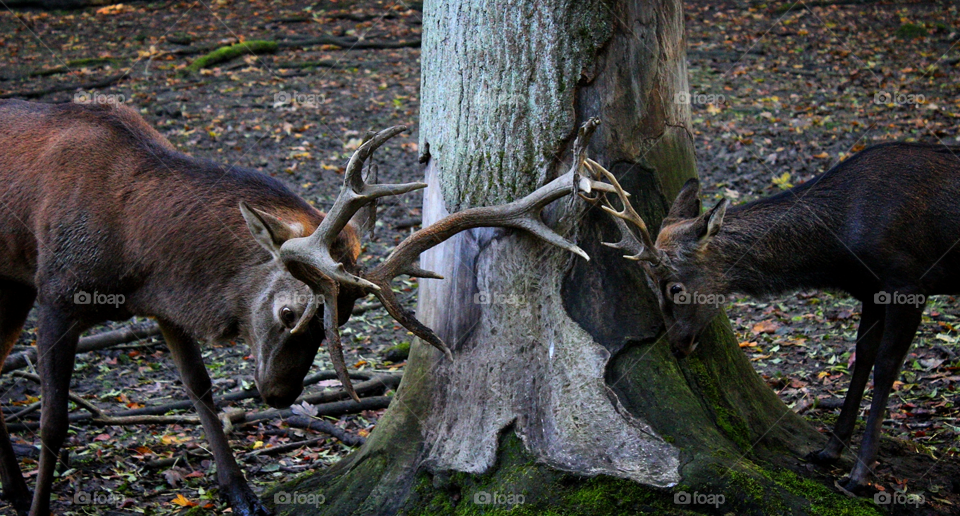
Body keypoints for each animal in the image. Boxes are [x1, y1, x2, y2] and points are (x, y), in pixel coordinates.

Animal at [0, 99, 592, 516]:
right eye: (289, 313)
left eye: (342, 319)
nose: (281, 395)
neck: (133, 252)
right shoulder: (57, 293)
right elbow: (53, 422)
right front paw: (41, 505)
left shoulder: (166, 306)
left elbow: (200, 389)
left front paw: (243, 494)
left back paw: (11, 489)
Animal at [581, 138, 960, 493]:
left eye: (674, 287)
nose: (677, 346)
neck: (841, 253)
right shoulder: (871, 290)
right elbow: (862, 357)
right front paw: (828, 452)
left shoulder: (906, 283)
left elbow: (885, 370)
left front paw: (859, 476)